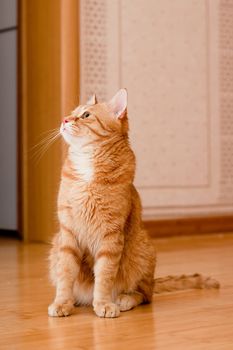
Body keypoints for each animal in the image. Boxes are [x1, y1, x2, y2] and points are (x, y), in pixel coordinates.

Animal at [48, 89, 219, 318]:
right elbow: (65, 274)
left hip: (140, 249)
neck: (87, 165)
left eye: (86, 115)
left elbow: (104, 276)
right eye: (72, 112)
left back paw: (124, 299)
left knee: (145, 295)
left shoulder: (110, 236)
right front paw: (62, 303)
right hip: (55, 246)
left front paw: (103, 303)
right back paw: (78, 300)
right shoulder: (67, 234)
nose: (64, 120)